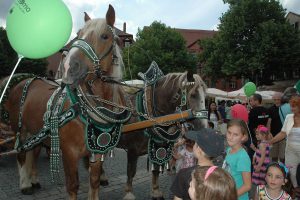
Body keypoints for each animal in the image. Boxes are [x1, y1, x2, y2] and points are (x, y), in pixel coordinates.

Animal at [1, 5, 126, 200]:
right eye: (79, 33)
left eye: (105, 36)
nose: (69, 66)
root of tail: (23, 81)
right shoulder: (69, 153)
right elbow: (73, 186)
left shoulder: (97, 152)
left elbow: (94, 181)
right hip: (19, 130)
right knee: (21, 155)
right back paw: (25, 184)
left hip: (36, 131)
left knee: (33, 153)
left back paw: (34, 180)